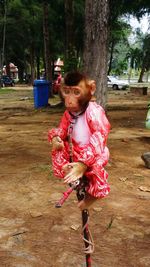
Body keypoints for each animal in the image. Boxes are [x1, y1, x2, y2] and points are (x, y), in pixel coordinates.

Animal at [48, 71, 110, 211]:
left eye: (76, 92)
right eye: (67, 91)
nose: (70, 101)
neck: (79, 112)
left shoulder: (95, 111)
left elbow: (99, 133)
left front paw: (80, 167)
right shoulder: (68, 113)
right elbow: (63, 130)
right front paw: (56, 139)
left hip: (102, 157)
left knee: (97, 168)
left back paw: (90, 199)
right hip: (74, 154)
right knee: (59, 150)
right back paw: (65, 167)